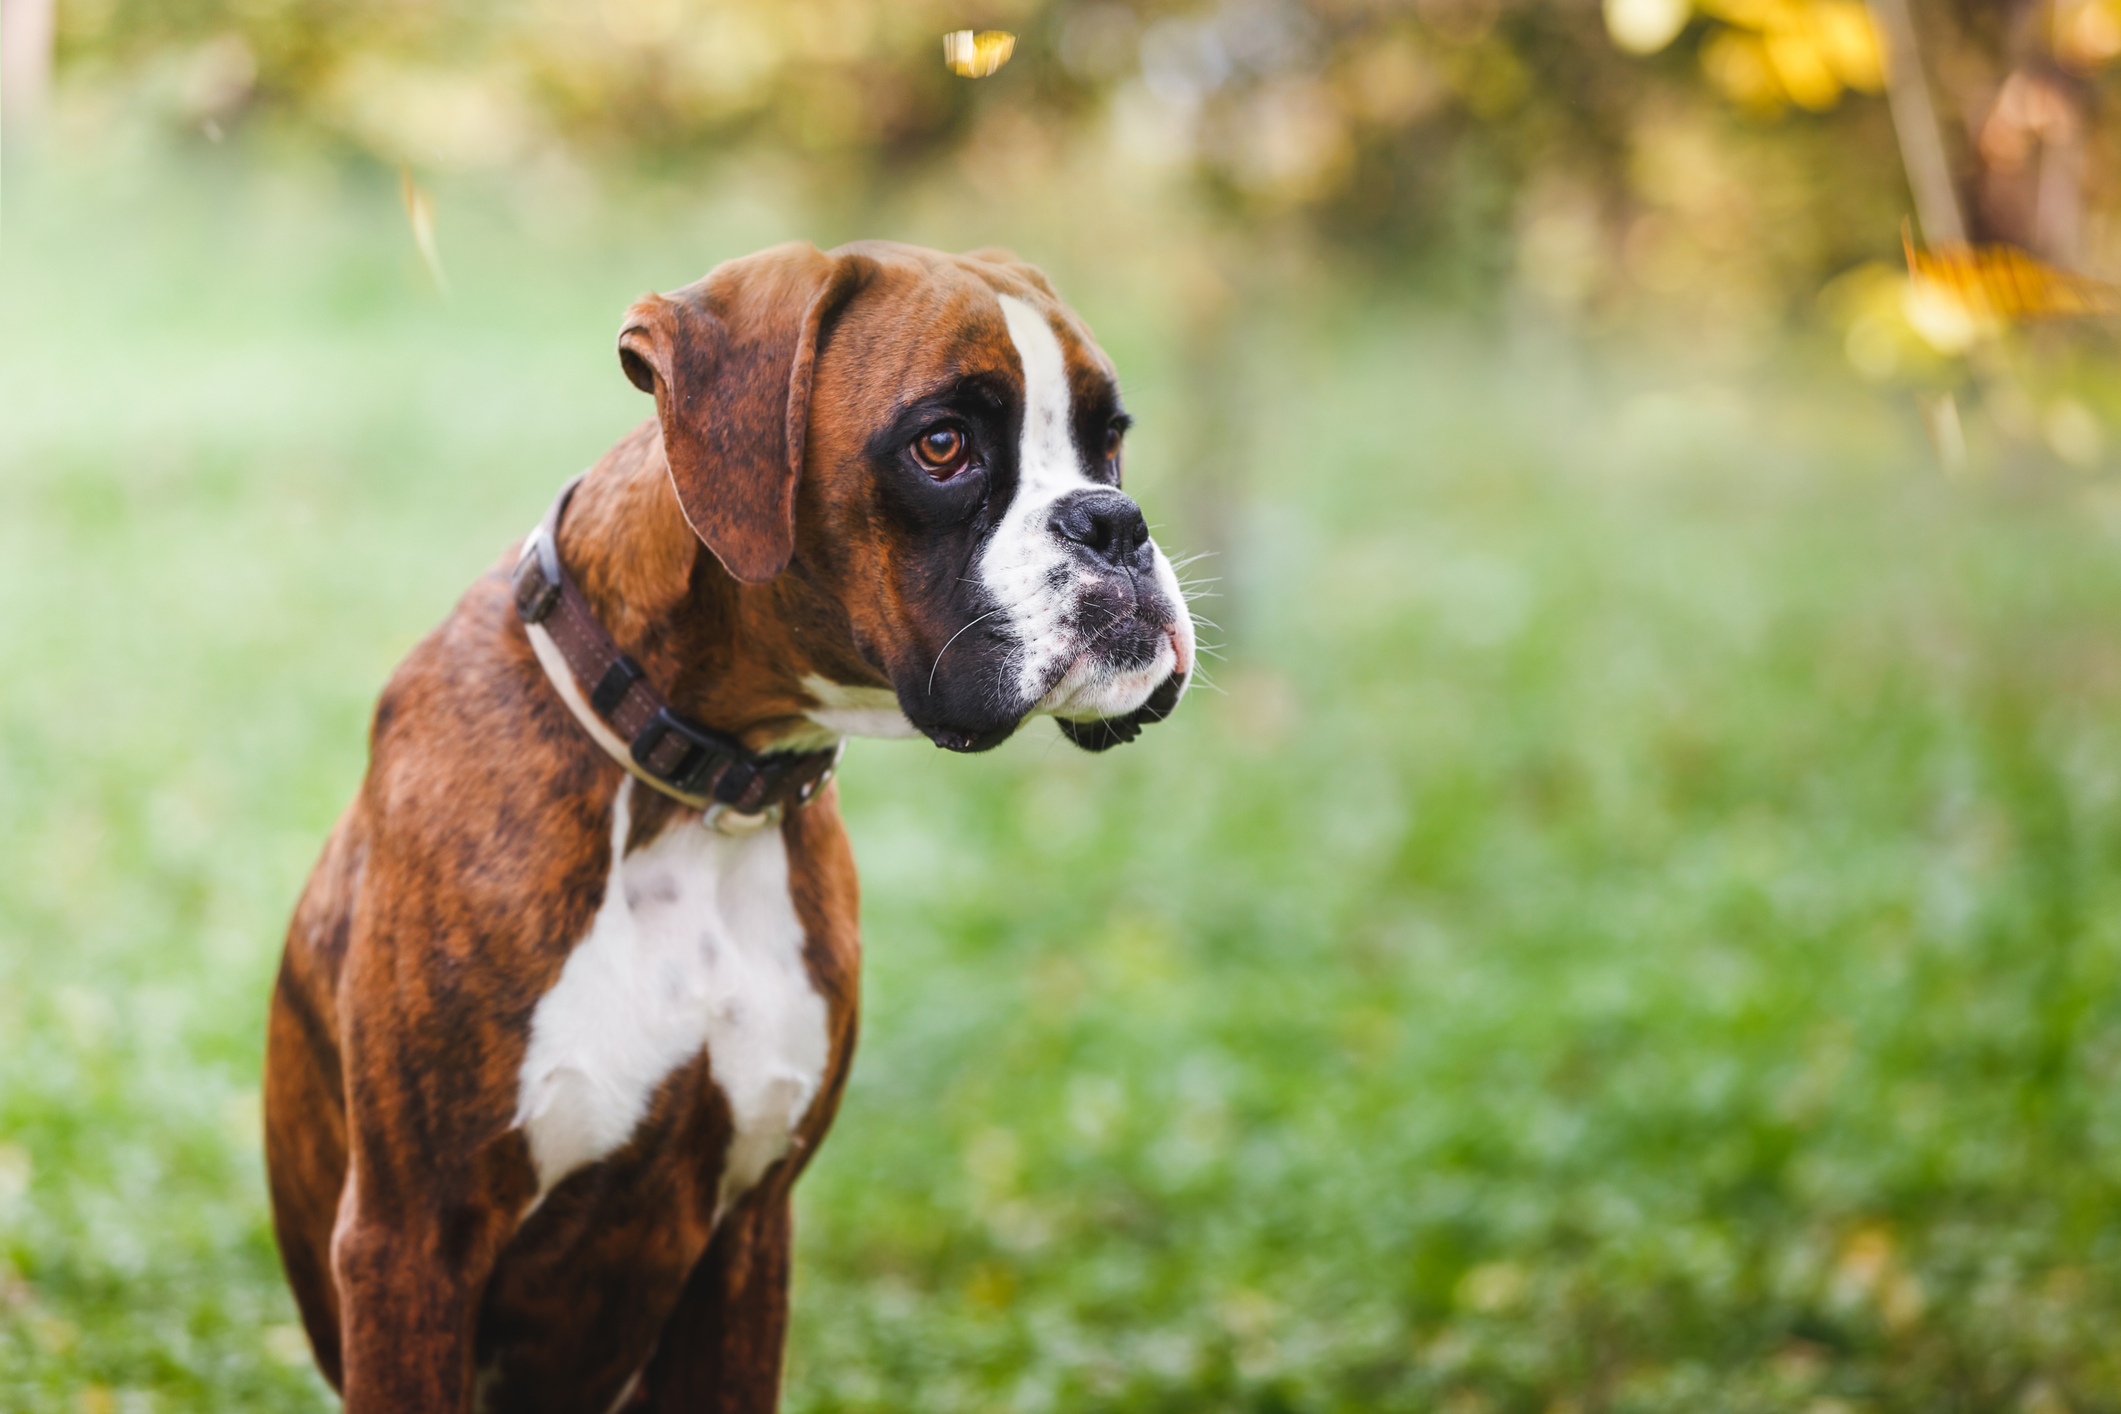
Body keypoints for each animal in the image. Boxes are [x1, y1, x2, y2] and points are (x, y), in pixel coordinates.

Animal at [260, 245, 1196, 1414]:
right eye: (942, 445)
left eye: (1109, 439)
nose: (1114, 521)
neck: (703, 790)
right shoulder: (410, 1243)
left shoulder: (750, 1236)